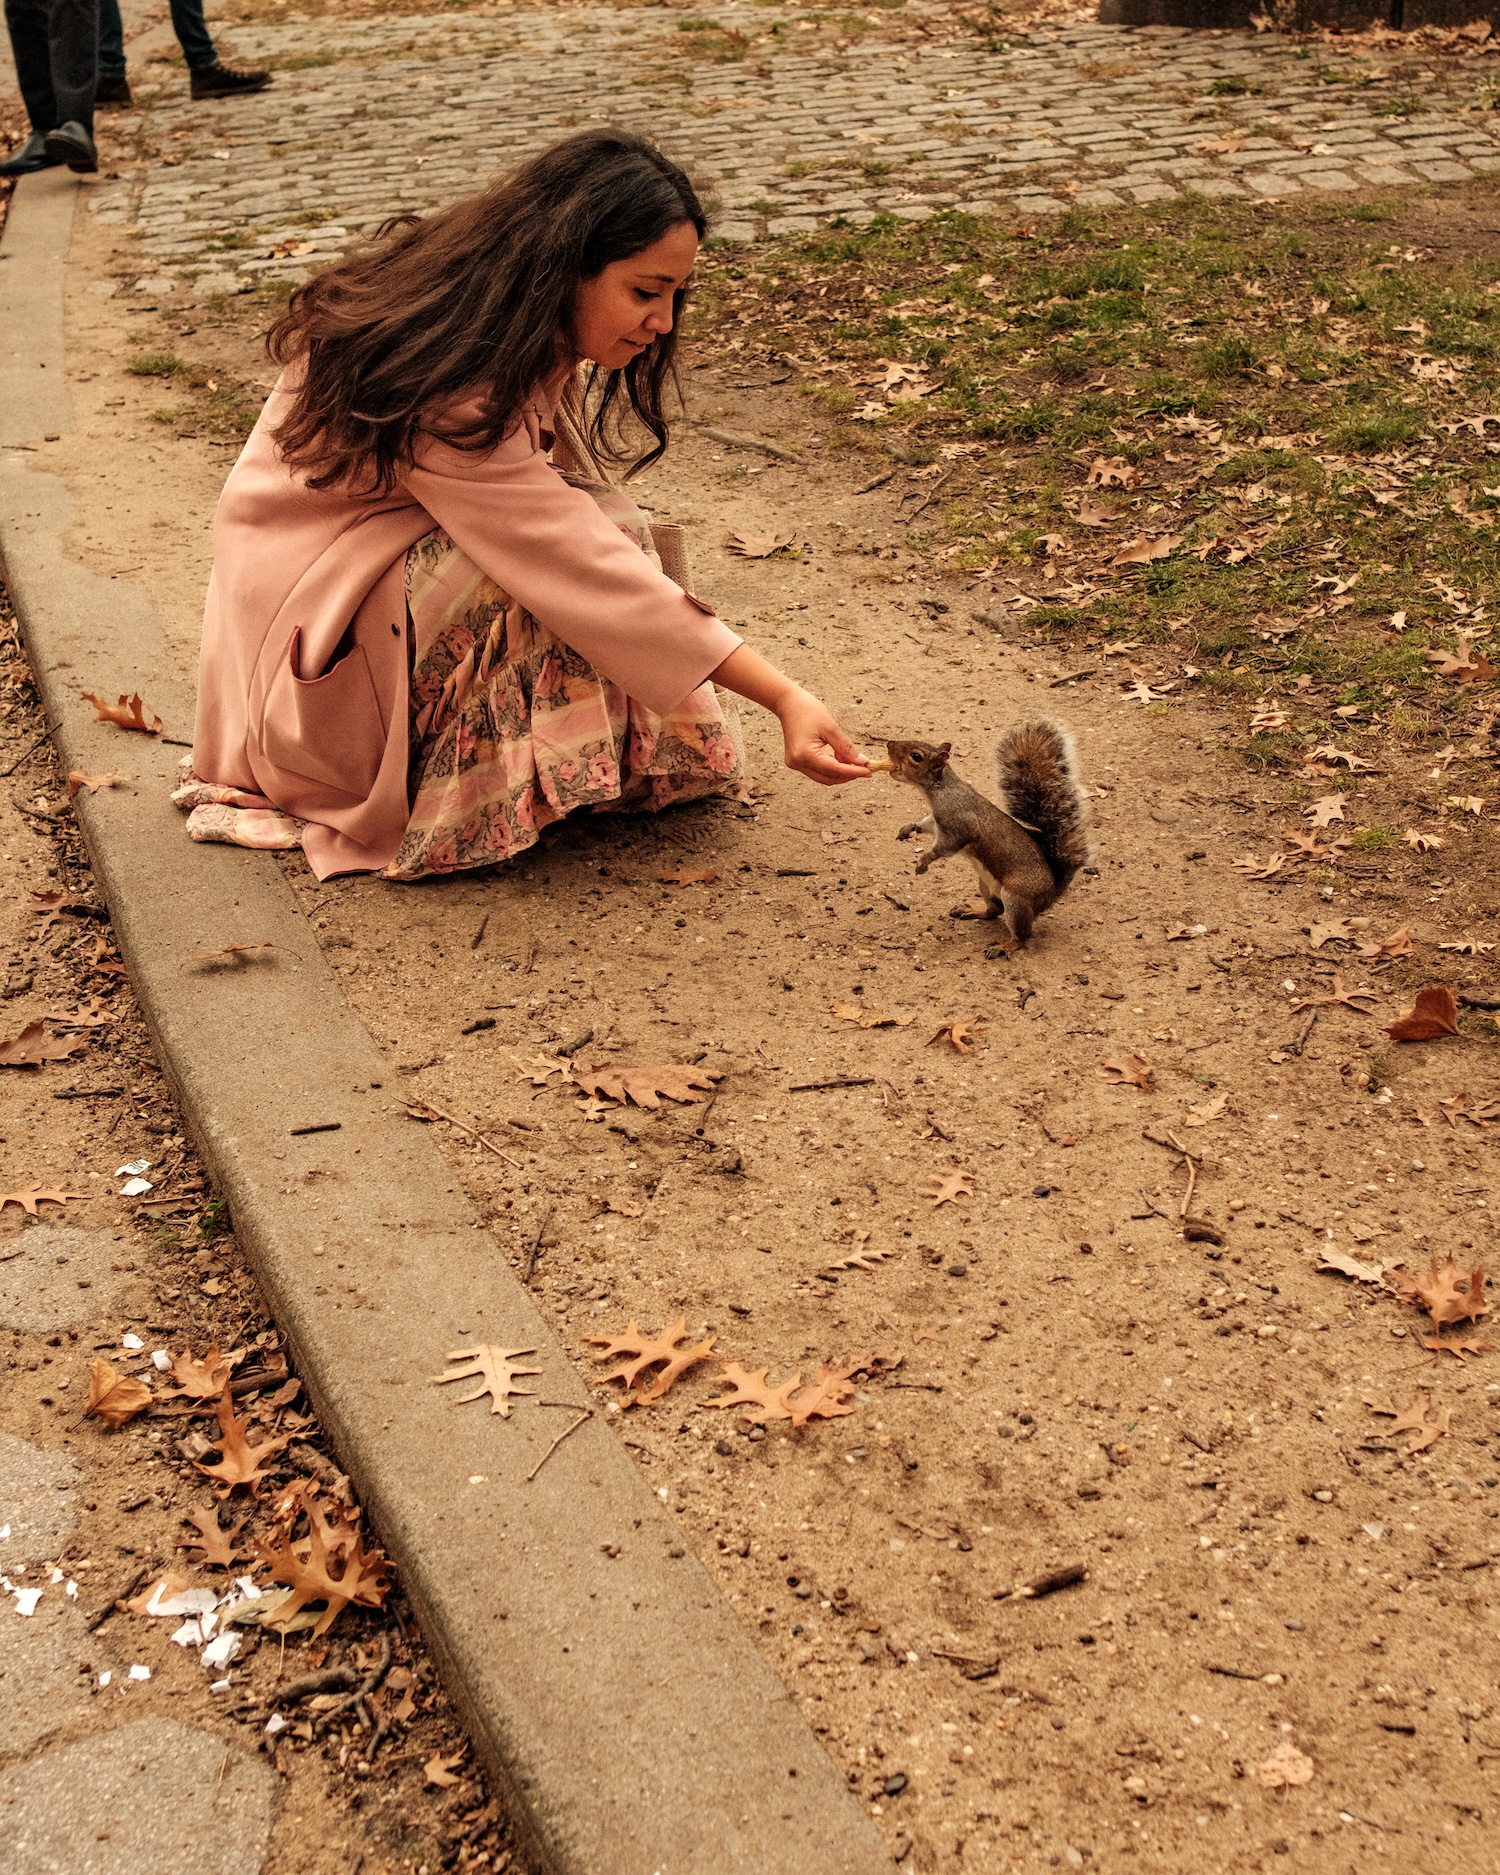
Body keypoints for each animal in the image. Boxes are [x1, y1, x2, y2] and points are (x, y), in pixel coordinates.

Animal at [870, 719, 1093, 946]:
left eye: (916, 756)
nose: (889, 743)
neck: (939, 790)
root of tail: (1051, 893)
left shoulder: (959, 824)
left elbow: (945, 846)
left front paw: (924, 860)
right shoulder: (936, 822)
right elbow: (925, 825)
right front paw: (909, 828)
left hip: (1017, 899)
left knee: (1023, 934)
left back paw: (1006, 946)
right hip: (985, 884)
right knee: (994, 911)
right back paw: (971, 912)